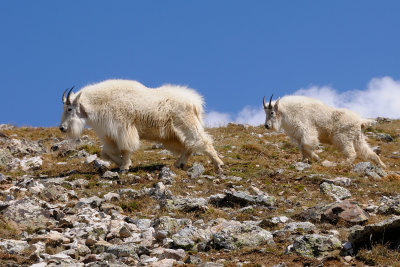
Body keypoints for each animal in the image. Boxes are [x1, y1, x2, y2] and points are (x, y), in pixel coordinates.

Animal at [58, 79, 225, 172]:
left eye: (69, 109)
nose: (62, 128)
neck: (100, 103)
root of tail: (195, 103)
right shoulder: (109, 134)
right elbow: (106, 153)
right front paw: (123, 164)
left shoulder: (123, 127)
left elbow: (125, 149)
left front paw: (124, 166)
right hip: (173, 134)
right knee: (189, 146)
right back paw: (179, 163)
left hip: (187, 124)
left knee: (202, 141)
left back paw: (218, 165)